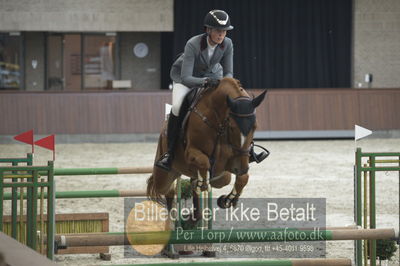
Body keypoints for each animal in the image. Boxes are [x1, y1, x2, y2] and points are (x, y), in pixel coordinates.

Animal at [147, 77, 266, 222]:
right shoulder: (191, 152)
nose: (240, 168)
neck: (217, 121)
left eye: (255, 126)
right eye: (232, 127)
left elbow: (242, 178)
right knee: (167, 189)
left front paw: (227, 200)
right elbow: (204, 163)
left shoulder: (230, 163)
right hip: (163, 175)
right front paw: (202, 183)